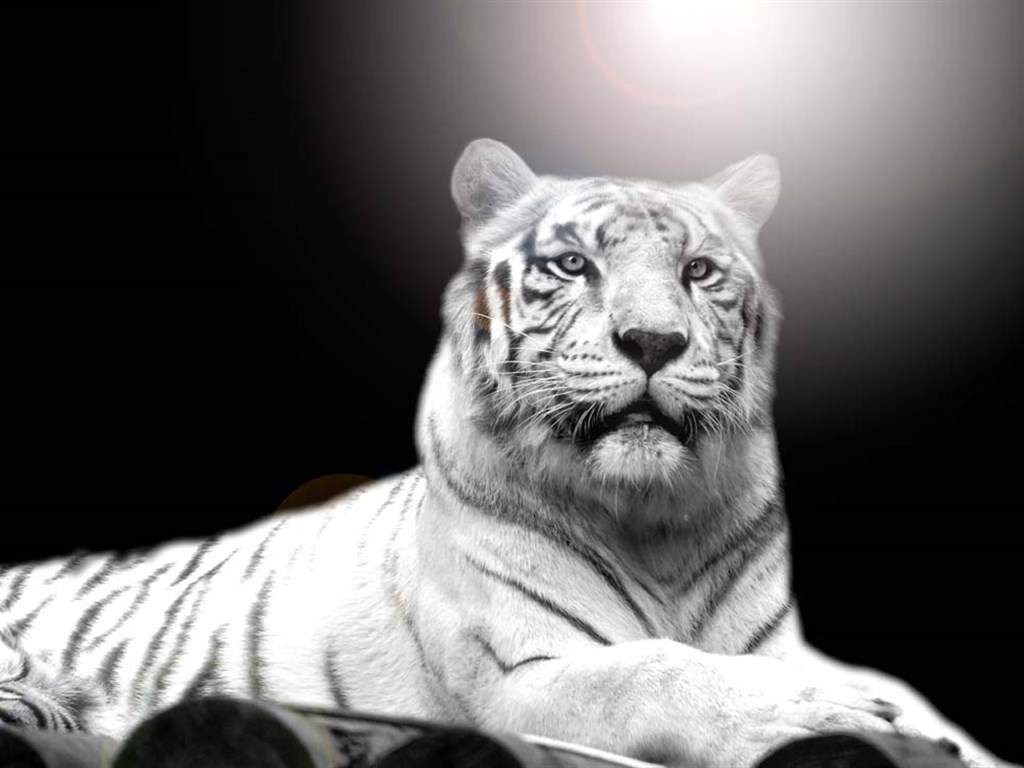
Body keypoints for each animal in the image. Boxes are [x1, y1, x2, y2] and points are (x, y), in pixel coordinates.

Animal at [0, 138, 1016, 768]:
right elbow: (655, 669)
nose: (655, 342)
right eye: (574, 266)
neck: (660, 522)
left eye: (699, 272)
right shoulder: (521, 684)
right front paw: (803, 710)